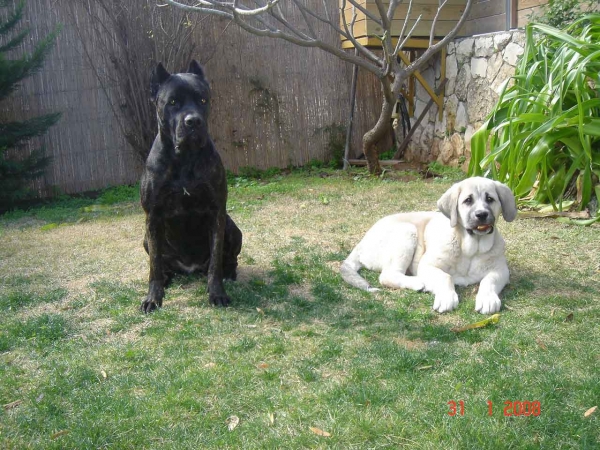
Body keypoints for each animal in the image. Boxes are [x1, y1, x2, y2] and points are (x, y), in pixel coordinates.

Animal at [140, 60, 241, 312]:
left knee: (228, 259)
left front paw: (217, 293)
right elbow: (154, 265)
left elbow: (215, 261)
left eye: (203, 100)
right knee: (160, 264)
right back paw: (166, 277)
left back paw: (229, 273)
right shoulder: (152, 216)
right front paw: (153, 298)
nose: (193, 121)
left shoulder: (217, 212)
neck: (184, 158)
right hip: (146, 238)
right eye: (173, 102)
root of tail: (189, 269)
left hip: (233, 228)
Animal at [340, 176, 516, 312]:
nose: (481, 214)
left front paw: (488, 299)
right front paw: (446, 297)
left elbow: (489, 281)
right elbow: (445, 277)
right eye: (468, 200)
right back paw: (418, 282)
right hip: (406, 231)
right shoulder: (427, 266)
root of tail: (361, 243)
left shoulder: (501, 270)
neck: (470, 249)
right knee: (387, 275)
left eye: (490, 199)